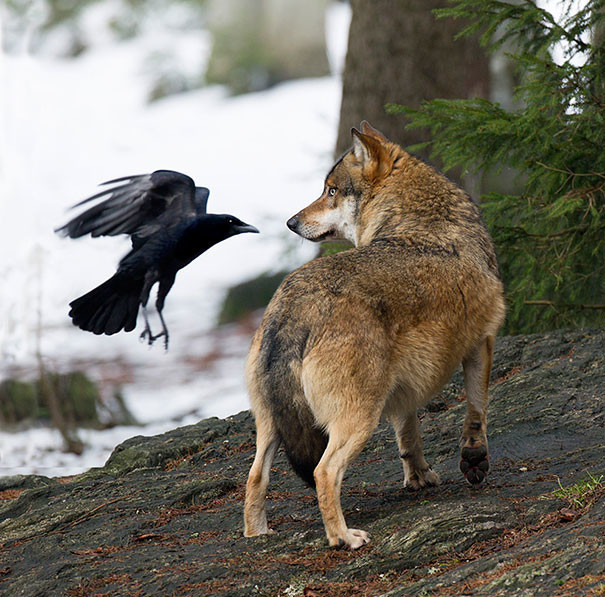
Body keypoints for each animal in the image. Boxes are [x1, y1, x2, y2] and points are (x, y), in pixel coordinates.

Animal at [243, 122, 502, 548]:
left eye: (331, 190)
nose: (291, 222)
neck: (417, 215)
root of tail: (292, 311)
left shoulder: (404, 386)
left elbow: (409, 436)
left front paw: (418, 479)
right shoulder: (482, 342)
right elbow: (476, 412)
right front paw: (474, 460)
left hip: (272, 427)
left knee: (254, 478)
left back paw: (258, 535)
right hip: (359, 420)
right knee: (324, 472)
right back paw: (344, 538)